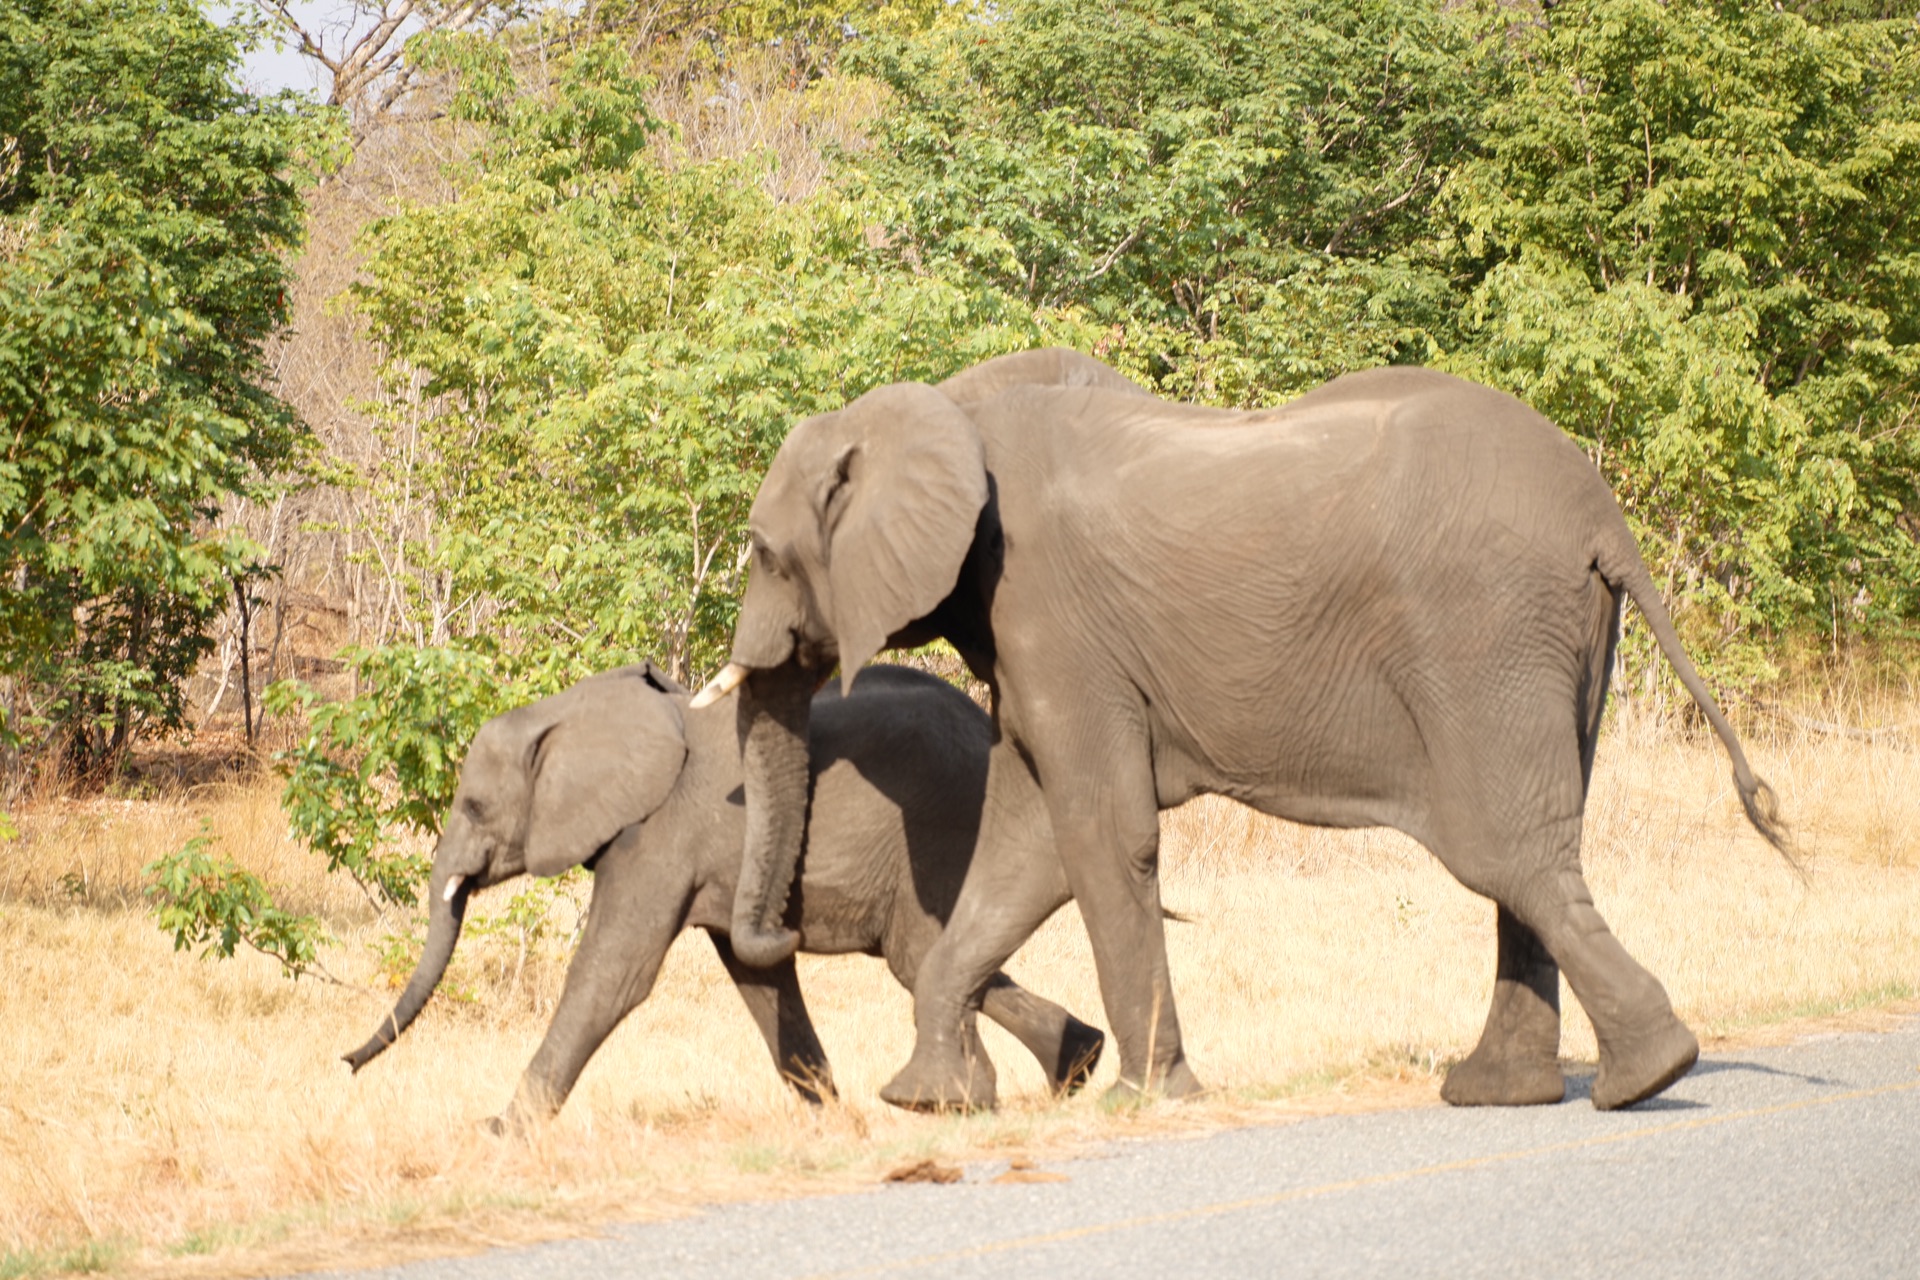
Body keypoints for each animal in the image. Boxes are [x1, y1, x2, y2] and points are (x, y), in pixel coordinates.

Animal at [337, 667, 1105, 1128]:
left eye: (472, 805)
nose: (344, 1065)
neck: (569, 712)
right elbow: (759, 978)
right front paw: (829, 1120)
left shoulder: (657, 834)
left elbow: (614, 974)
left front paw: (501, 1133)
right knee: (929, 959)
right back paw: (1078, 1065)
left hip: (946, 829)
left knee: (917, 958)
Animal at [698, 347, 1789, 1113]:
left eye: (764, 552)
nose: (784, 925)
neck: (940, 406)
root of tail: (1603, 515)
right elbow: (1029, 844)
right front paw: (929, 1102)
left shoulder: (1049, 614)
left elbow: (1098, 832)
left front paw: (1141, 1101)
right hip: (1560, 643)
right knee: (1532, 853)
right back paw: (1506, 1091)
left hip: (1486, 634)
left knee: (1505, 850)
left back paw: (1648, 1075)